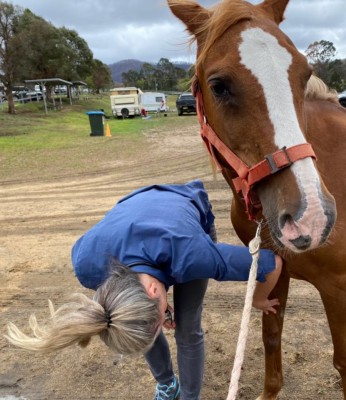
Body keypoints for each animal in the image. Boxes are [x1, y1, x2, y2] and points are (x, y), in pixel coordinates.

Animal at [168, 0, 346, 398]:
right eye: (219, 86)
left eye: (304, 75)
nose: (313, 217)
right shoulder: (273, 266)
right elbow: (271, 337)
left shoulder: (338, 285)